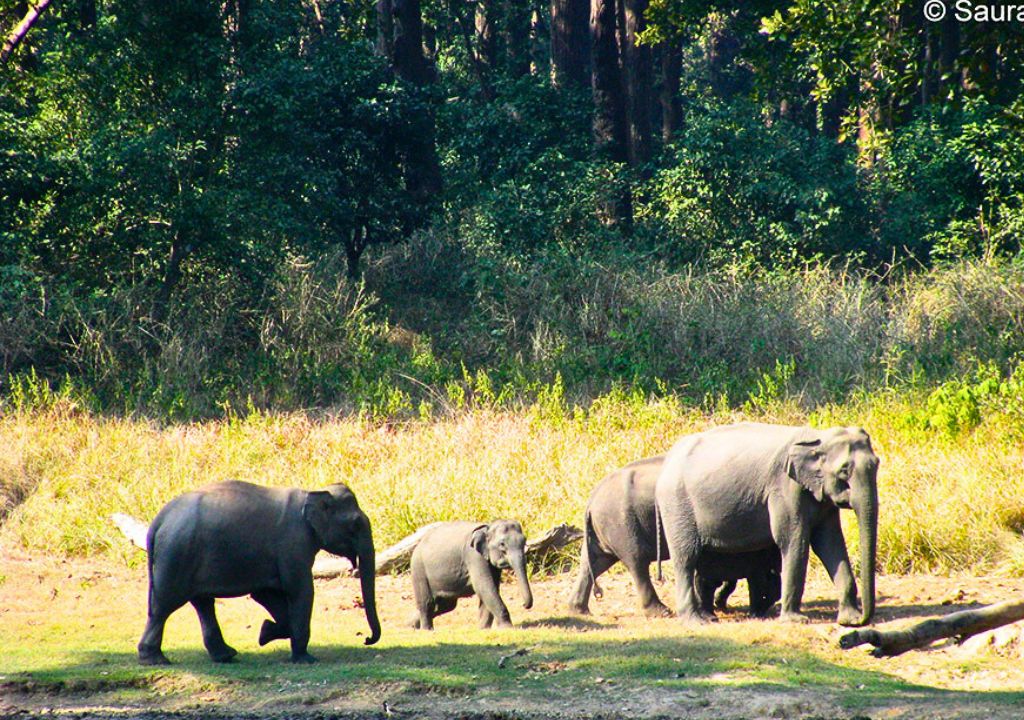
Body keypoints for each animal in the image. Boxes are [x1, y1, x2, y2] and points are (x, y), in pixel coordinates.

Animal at [137, 480, 380, 665]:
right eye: (356, 524)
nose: (366, 639)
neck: (312, 492)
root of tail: (158, 521)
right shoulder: (294, 544)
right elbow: (301, 591)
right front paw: (305, 659)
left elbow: (266, 593)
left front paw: (265, 633)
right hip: (177, 555)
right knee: (164, 604)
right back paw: (155, 660)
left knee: (202, 603)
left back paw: (226, 655)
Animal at [567, 455, 783, 618]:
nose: (764, 610)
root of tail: (591, 500)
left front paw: (719, 603)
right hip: (622, 524)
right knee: (636, 562)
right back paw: (662, 612)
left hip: (605, 530)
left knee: (594, 562)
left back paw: (579, 610)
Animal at [654, 423, 879, 626]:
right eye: (844, 471)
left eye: (877, 464)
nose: (862, 620)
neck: (818, 436)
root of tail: (667, 460)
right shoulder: (785, 488)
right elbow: (793, 540)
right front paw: (795, 621)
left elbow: (830, 543)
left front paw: (848, 619)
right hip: (677, 505)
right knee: (686, 558)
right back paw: (696, 621)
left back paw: (708, 616)